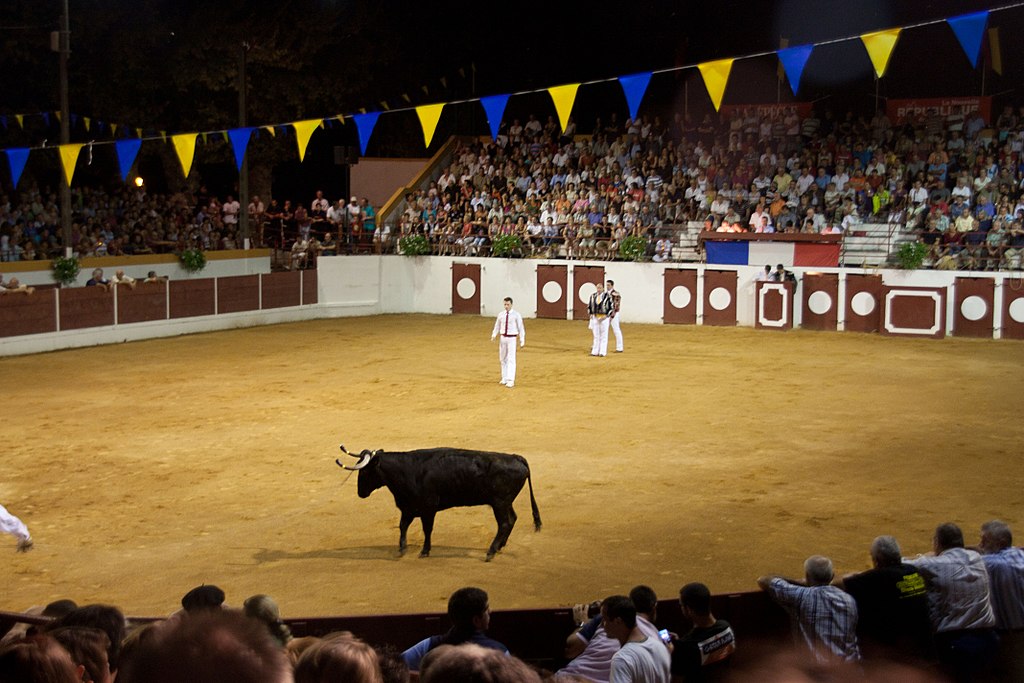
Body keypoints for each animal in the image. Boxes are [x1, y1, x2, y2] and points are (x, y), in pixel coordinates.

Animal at [337, 444, 544, 561]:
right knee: (512, 519)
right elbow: (403, 525)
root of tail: (516, 457)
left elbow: (427, 529)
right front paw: (402, 548)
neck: (407, 469)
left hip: (499, 503)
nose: (360, 493)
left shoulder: (428, 508)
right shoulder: (408, 507)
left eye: (365, 471)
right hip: (505, 502)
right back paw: (500, 545)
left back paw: (491, 552)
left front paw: (424, 551)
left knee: (504, 523)